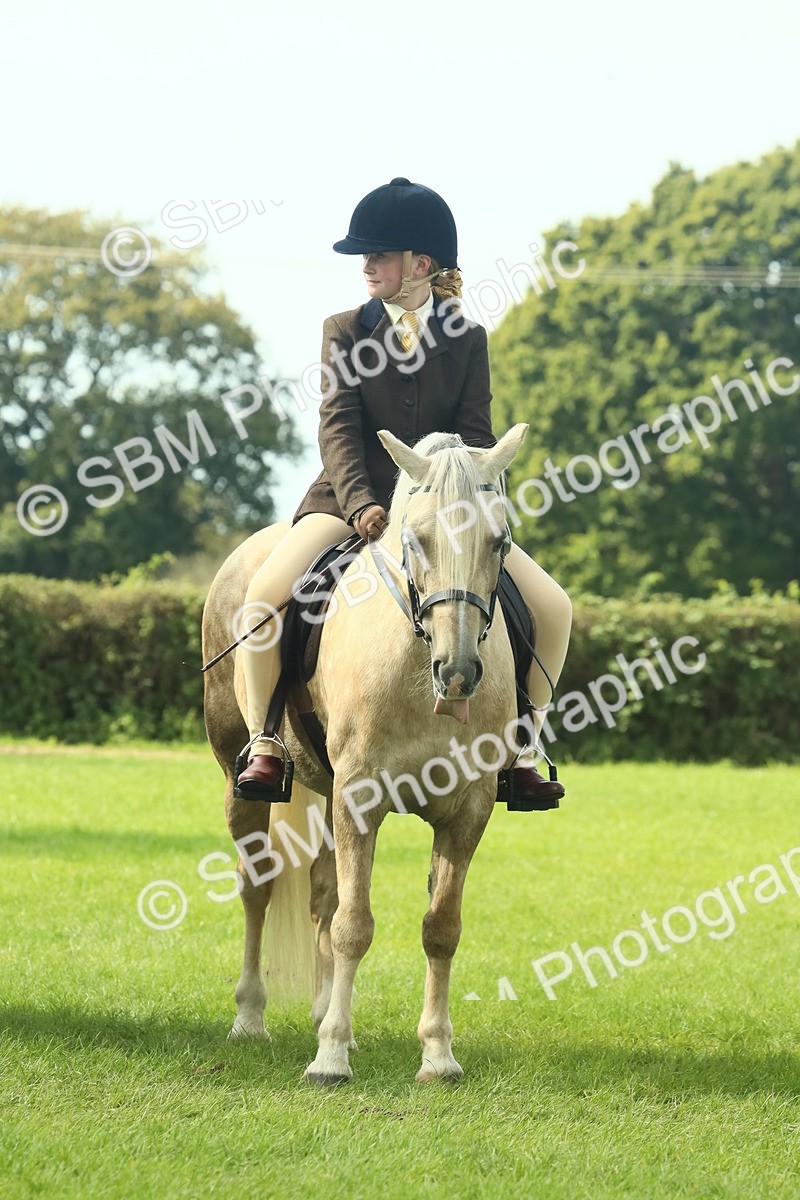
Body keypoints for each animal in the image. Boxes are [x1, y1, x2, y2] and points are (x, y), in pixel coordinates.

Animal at [201, 422, 529, 1085]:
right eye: (417, 539)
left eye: (499, 542)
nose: (457, 673)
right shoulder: (359, 797)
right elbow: (355, 926)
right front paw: (329, 1060)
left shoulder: (468, 808)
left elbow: (440, 928)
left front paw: (437, 1055)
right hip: (238, 778)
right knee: (258, 889)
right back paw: (251, 1017)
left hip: (327, 793)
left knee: (323, 894)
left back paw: (328, 1012)